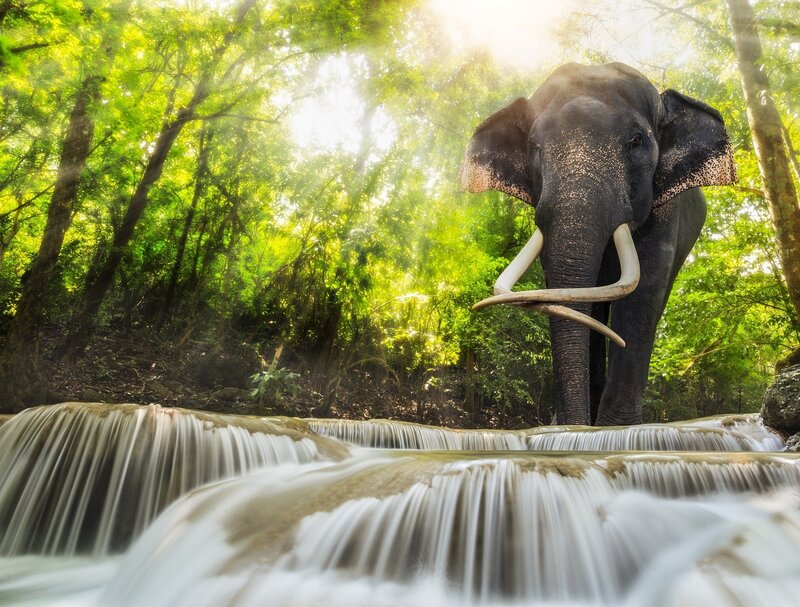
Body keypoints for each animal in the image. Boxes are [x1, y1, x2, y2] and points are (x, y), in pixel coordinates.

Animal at [460, 62, 736, 426]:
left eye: (637, 140)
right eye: (534, 146)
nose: (567, 424)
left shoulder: (664, 210)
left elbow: (643, 292)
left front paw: (617, 429)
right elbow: (571, 295)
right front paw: (571, 426)